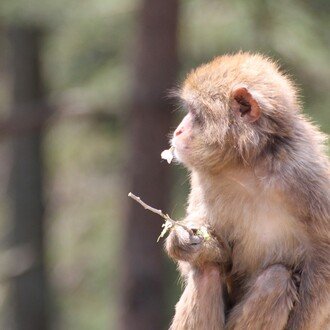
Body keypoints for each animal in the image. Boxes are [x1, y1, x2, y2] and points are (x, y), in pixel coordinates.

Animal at [165, 52, 330, 328]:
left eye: (194, 113)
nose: (178, 130)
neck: (248, 166)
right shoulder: (203, 178)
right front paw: (188, 241)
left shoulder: (306, 172)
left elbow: (323, 256)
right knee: (206, 271)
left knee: (276, 279)